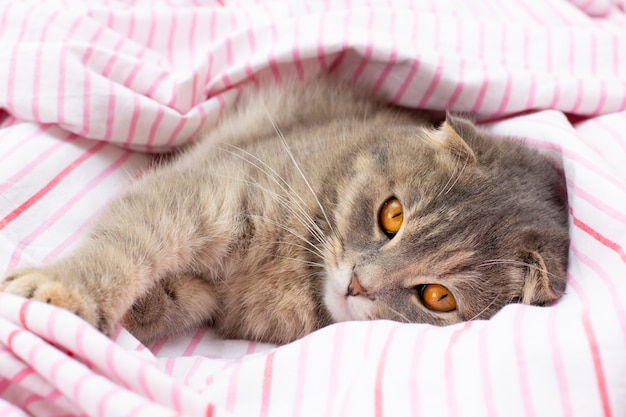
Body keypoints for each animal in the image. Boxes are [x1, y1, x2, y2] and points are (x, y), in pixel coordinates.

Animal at [0, 78, 568, 344]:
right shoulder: (204, 193)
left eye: (438, 297)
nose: (357, 283)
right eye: (392, 215)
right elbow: (126, 245)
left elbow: (164, 298)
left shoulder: (203, 294)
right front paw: (61, 290)